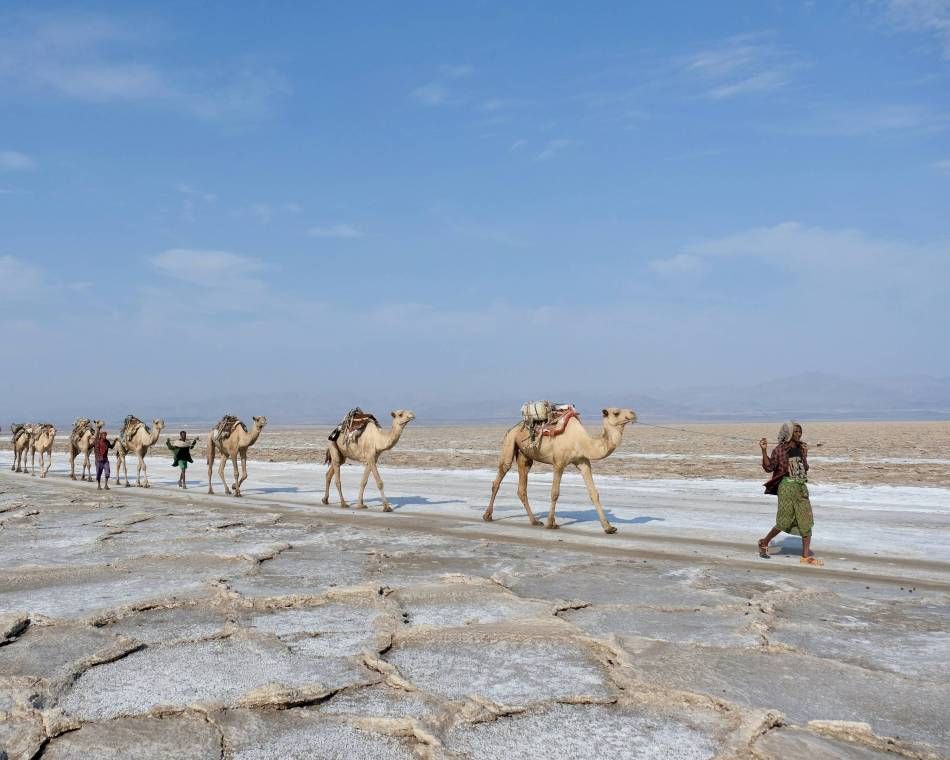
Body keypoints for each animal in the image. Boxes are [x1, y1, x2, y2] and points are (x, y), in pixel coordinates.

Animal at [483, 407, 637, 534]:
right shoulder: (558, 463)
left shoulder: (583, 462)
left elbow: (594, 493)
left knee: (522, 488)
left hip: (525, 455)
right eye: (616, 413)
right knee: (500, 475)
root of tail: (513, 428)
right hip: (509, 442)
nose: (633, 414)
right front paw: (550, 524)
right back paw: (487, 516)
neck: (582, 441)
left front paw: (609, 527)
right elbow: (555, 493)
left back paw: (534, 521)